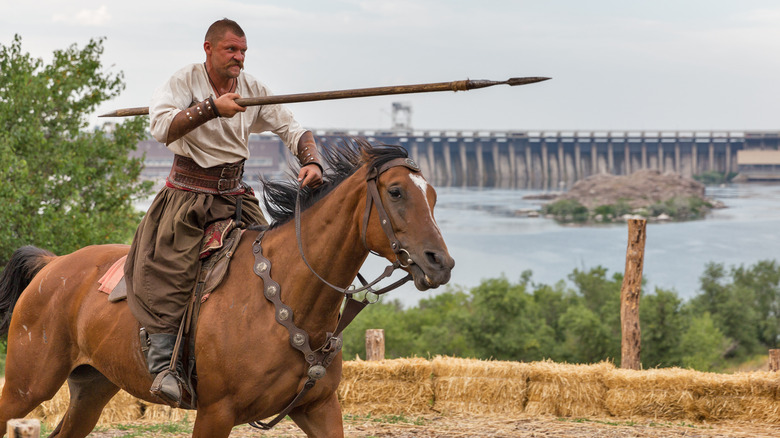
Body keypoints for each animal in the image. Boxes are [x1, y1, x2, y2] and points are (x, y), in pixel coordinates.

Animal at [0, 141, 458, 438]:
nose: (441, 262)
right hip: (27, 385)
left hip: (92, 387)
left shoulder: (319, 408)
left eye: (434, 196)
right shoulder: (215, 414)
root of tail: (52, 265)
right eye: (396, 192)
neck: (283, 297)